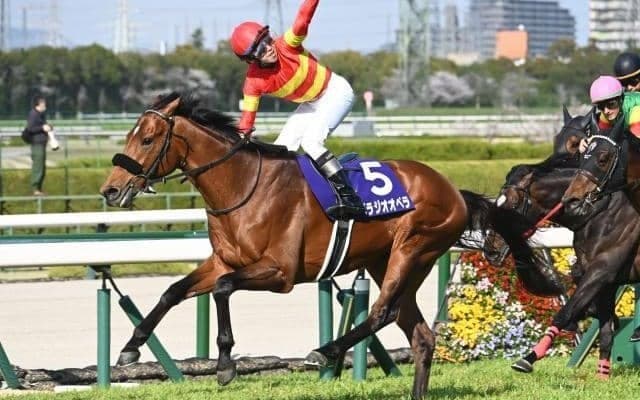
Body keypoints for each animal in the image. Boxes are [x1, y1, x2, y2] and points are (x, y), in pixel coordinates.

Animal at [99, 92, 532, 400]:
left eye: (148, 139)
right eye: (129, 136)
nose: (110, 190)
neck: (243, 186)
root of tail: (453, 190)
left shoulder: (280, 273)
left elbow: (222, 290)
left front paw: (224, 364)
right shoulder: (223, 260)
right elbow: (172, 292)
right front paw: (130, 348)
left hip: (413, 249)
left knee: (382, 311)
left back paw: (325, 351)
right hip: (388, 260)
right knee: (421, 335)